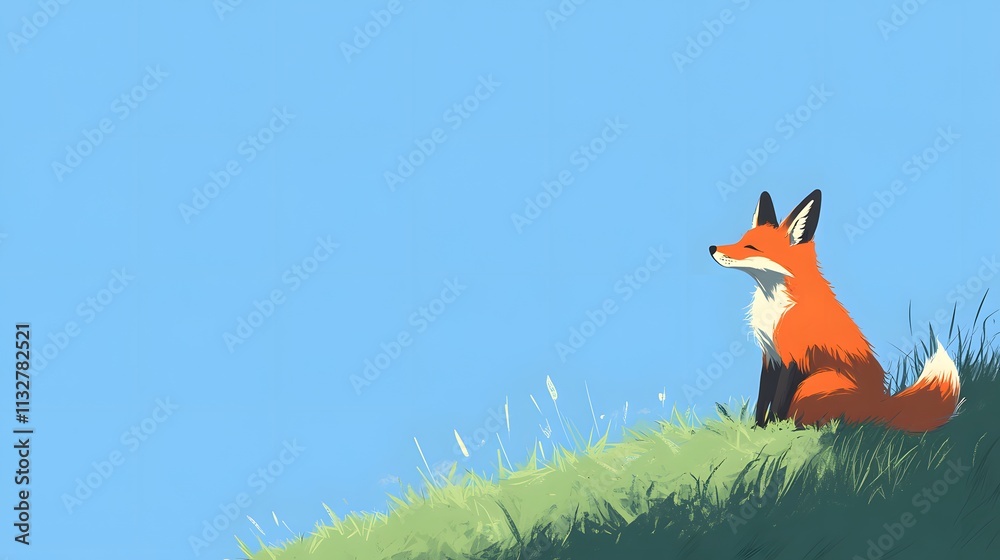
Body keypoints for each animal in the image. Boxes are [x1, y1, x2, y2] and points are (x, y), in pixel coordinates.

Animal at [709, 189, 960, 432]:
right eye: (741, 240)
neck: (776, 307)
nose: (712, 248)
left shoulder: (793, 358)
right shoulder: (770, 355)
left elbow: (778, 403)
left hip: (815, 382)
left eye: (751, 247)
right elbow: (763, 399)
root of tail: (880, 405)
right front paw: (757, 429)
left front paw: (773, 429)